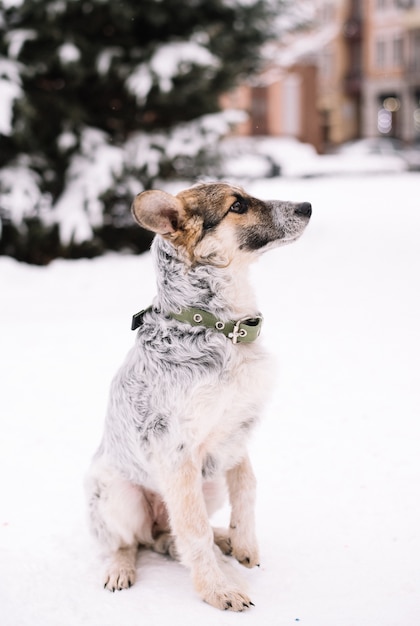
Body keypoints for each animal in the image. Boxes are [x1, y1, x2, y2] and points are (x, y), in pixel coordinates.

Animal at [85, 182, 310, 608]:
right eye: (237, 205)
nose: (307, 206)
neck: (219, 328)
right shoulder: (176, 451)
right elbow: (193, 529)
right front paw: (217, 590)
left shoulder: (235, 433)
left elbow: (247, 487)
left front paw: (243, 542)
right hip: (120, 496)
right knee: (129, 542)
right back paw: (120, 568)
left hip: (210, 481)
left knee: (171, 537)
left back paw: (224, 539)